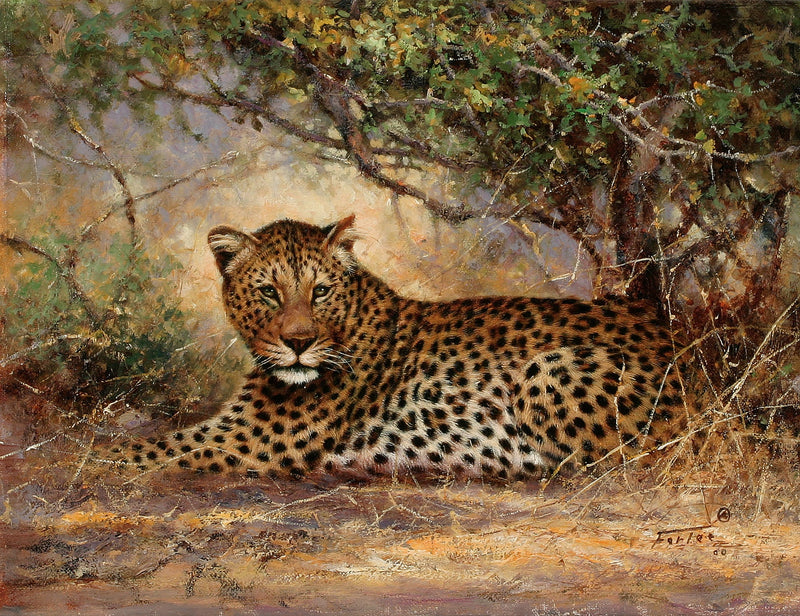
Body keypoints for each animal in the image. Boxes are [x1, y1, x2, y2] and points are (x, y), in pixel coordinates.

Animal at [96, 214, 695, 481]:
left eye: (320, 291)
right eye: (269, 291)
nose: (298, 343)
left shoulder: (249, 439)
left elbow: (149, 450)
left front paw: (91, 454)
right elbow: (145, 437)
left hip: (550, 370)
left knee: (621, 462)